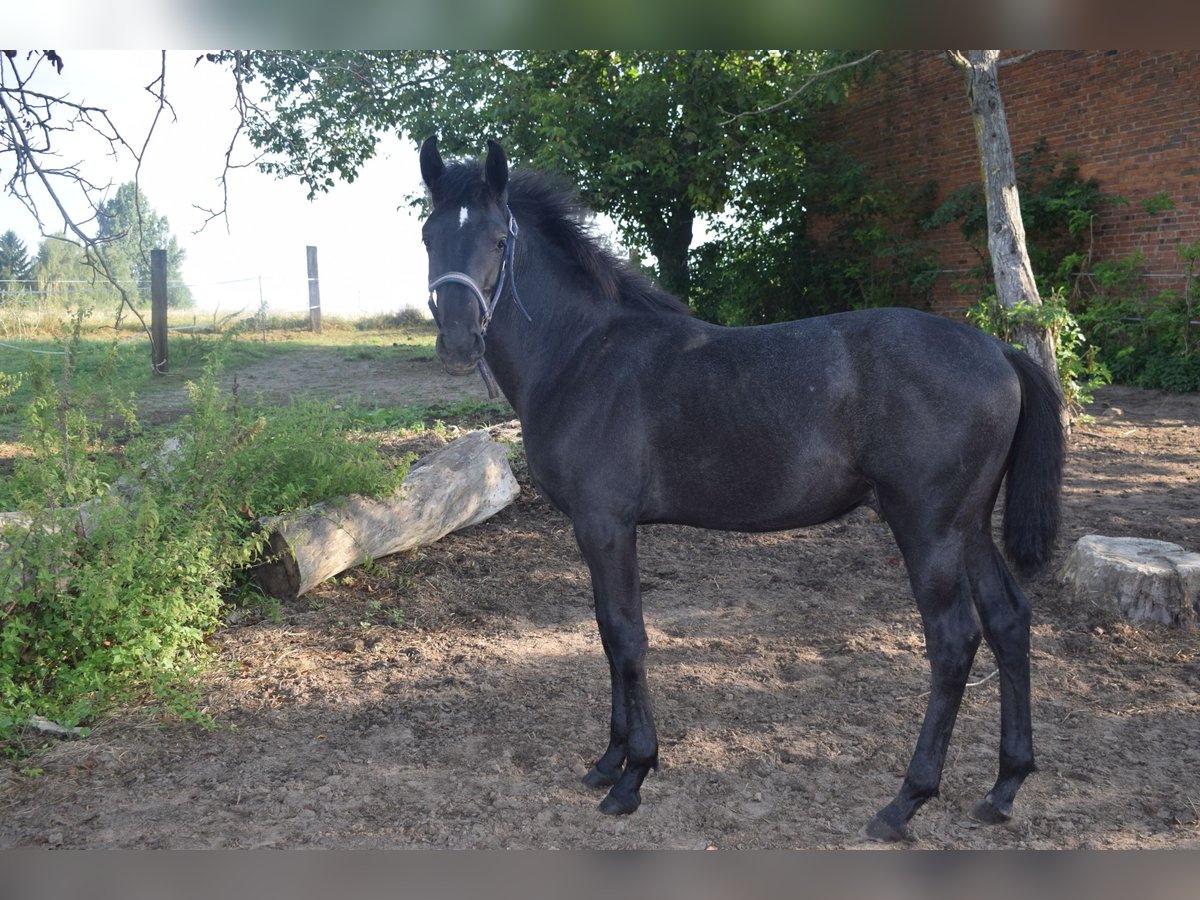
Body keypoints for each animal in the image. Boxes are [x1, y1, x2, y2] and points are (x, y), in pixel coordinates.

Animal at [417, 137, 1065, 844]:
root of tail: (999, 350)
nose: (457, 341)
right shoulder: (596, 531)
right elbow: (608, 634)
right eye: (428, 236)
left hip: (928, 528)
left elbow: (626, 635)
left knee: (952, 643)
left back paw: (906, 800)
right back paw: (1004, 786)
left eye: (497, 239)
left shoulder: (606, 525)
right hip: (969, 526)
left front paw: (633, 776)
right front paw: (608, 760)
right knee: (1008, 620)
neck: (585, 355)